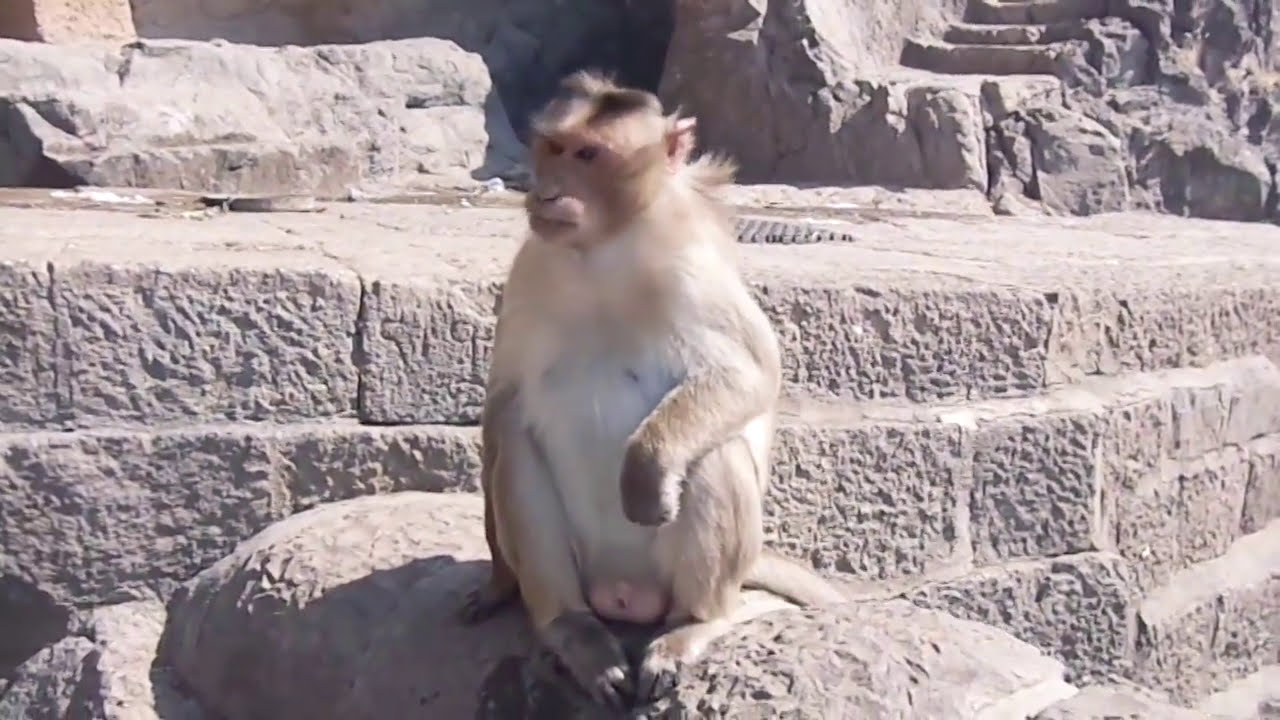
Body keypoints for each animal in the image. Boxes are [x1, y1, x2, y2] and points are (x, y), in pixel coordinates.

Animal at [457, 70, 846, 708]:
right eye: (554, 147)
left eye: (589, 156)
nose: (546, 193)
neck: (602, 249)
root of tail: (624, 595)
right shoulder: (532, 264)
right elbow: (503, 401)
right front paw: (498, 583)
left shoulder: (691, 266)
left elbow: (750, 374)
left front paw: (645, 470)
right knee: (516, 445)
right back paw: (571, 629)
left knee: (714, 452)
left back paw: (694, 624)